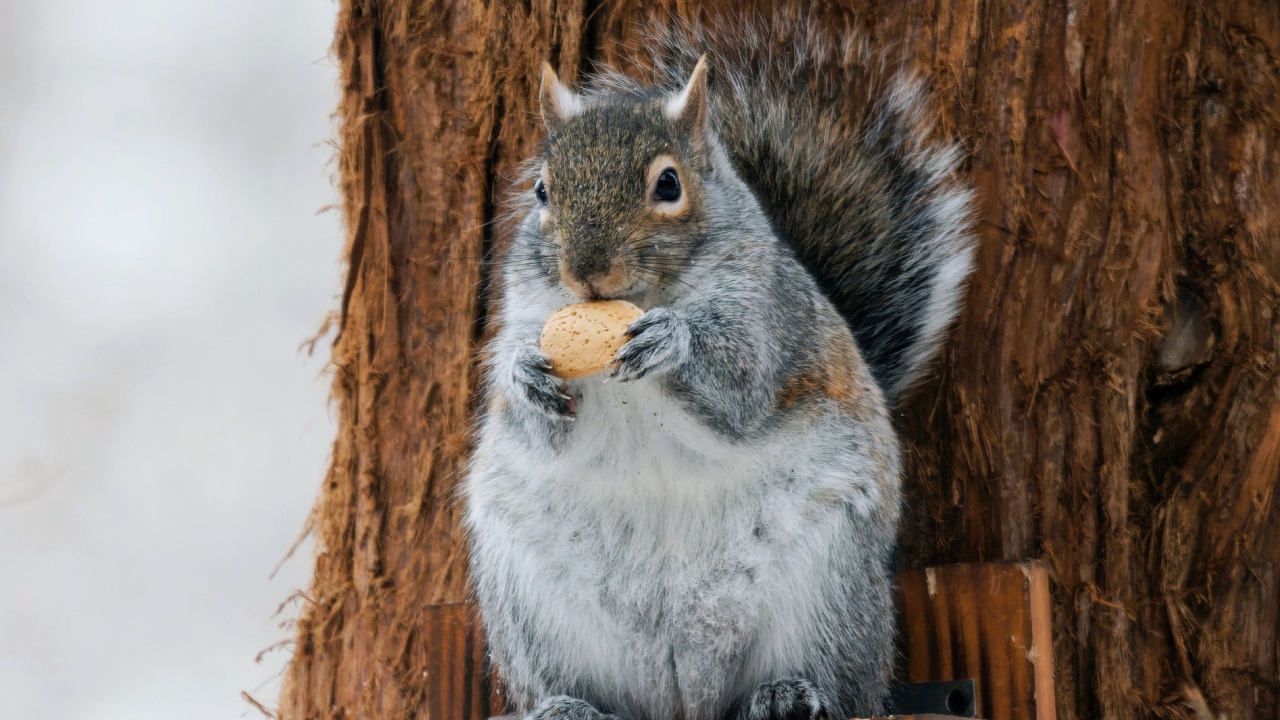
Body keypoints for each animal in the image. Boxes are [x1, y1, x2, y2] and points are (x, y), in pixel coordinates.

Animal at [463, 13, 975, 720]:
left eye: (669, 184)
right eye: (541, 189)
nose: (586, 272)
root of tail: (684, 694)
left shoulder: (768, 317)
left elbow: (740, 389)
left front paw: (672, 342)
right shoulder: (526, 312)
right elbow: (537, 429)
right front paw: (524, 376)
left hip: (829, 586)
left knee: (846, 687)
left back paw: (789, 693)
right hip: (531, 602)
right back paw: (566, 706)